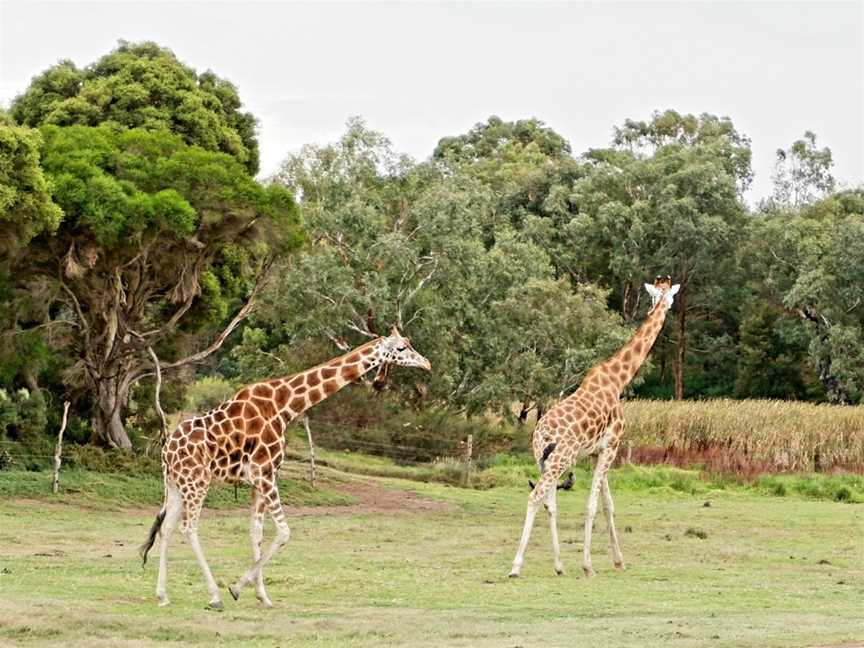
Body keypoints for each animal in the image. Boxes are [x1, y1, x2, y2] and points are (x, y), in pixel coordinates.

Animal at [139, 330, 432, 608]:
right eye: (401, 348)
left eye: (409, 343)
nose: (427, 363)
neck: (285, 405)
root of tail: (166, 452)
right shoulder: (265, 473)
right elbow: (284, 532)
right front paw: (236, 588)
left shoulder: (259, 479)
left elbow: (256, 532)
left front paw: (262, 596)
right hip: (197, 482)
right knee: (188, 528)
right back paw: (214, 596)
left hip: (176, 484)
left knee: (166, 528)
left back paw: (162, 595)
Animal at [506, 274, 680, 576]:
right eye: (668, 298)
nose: (667, 309)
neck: (617, 380)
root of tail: (542, 434)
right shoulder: (613, 445)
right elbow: (593, 504)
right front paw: (588, 566)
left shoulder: (599, 450)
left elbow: (608, 504)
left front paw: (618, 561)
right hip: (561, 459)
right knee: (536, 496)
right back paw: (516, 566)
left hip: (544, 460)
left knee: (549, 502)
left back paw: (559, 565)